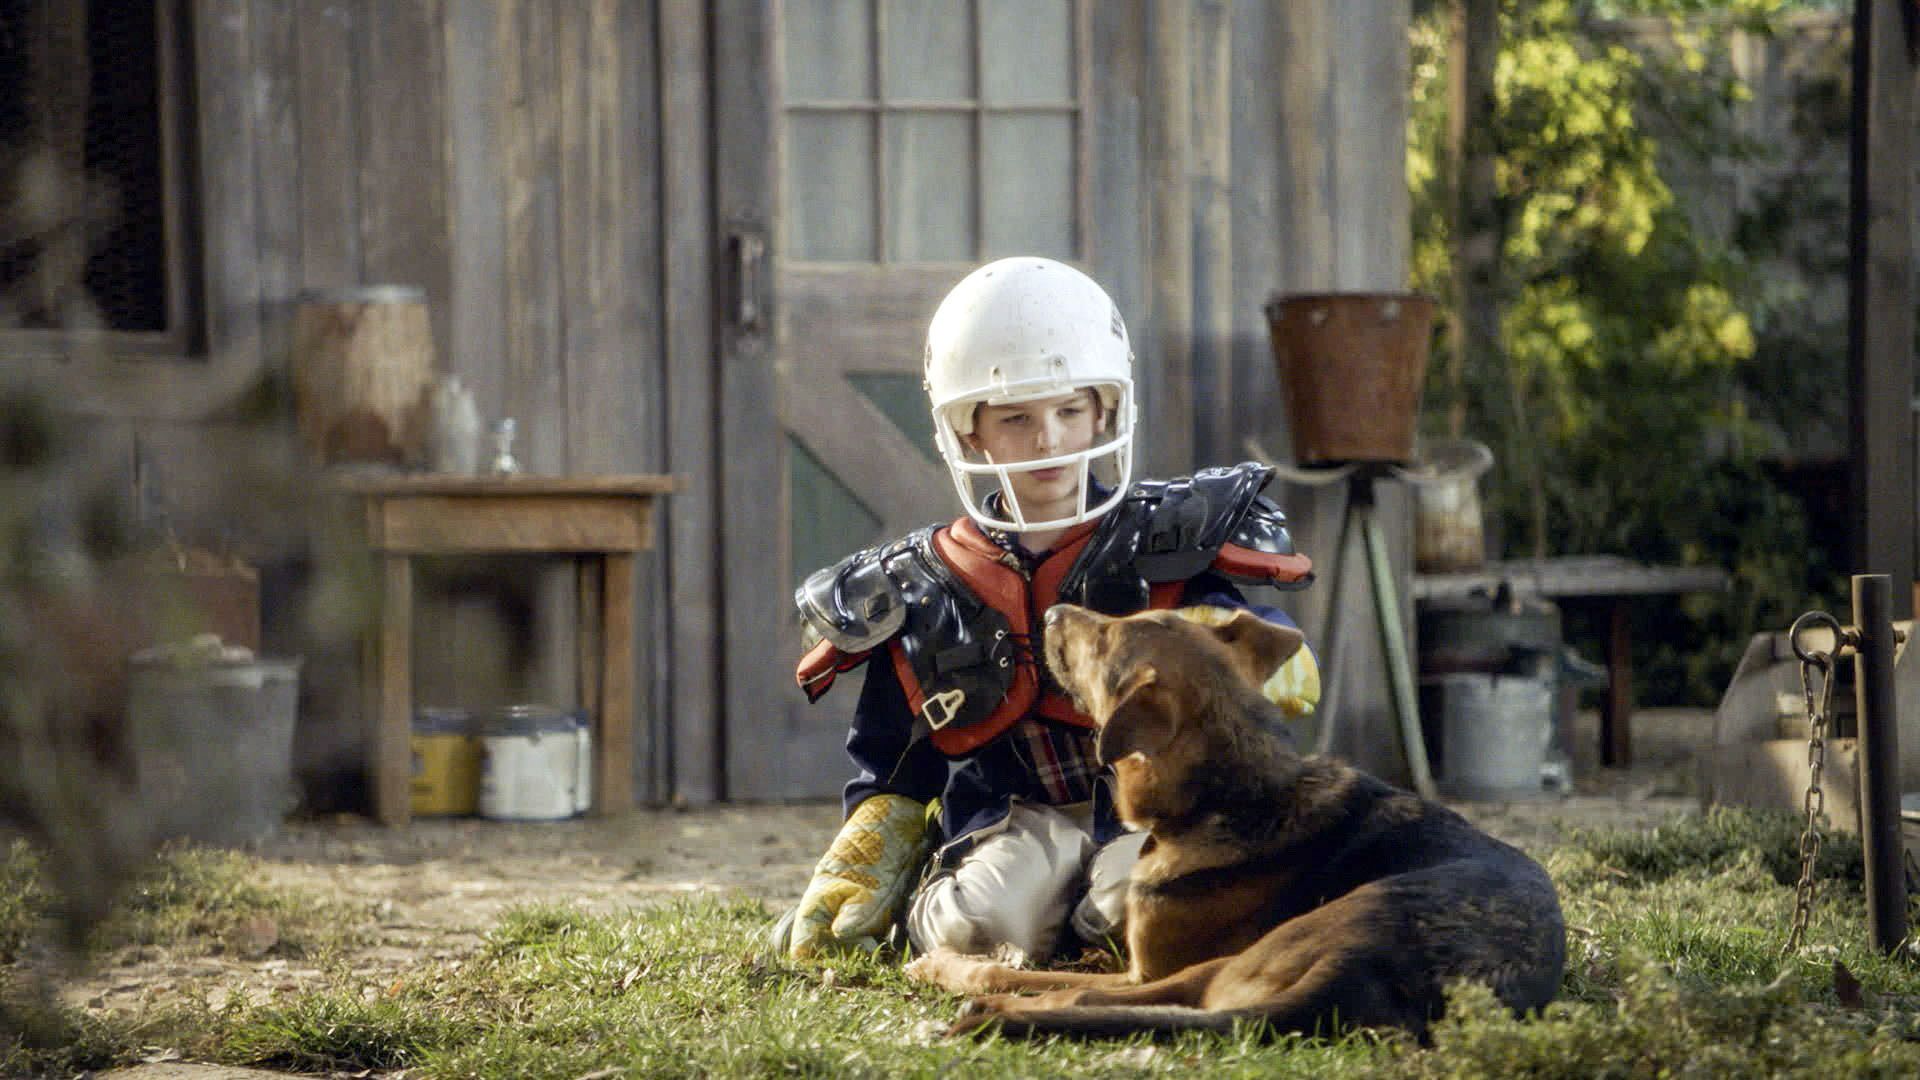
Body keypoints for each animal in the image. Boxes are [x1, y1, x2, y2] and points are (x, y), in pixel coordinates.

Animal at [906, 607, 1566, 1037]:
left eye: (1103, 639)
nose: (1046, 613)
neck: (1233, 793)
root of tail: (1358, 972)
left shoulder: (1143, 968)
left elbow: (1023, 973)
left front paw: (952, 966)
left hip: (1225, 963)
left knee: (1080, 995)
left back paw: (981, 999)